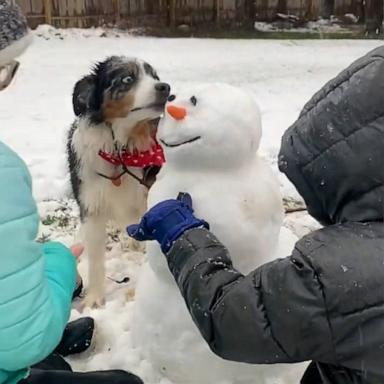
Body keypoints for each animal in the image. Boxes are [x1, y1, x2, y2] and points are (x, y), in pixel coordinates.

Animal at [68, 55, 170, 308]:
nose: (165, 87)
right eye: (127, 79)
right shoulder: (91, 206)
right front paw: (94, 299)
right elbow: (95, 260)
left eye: (154, 76)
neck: (122, 152)